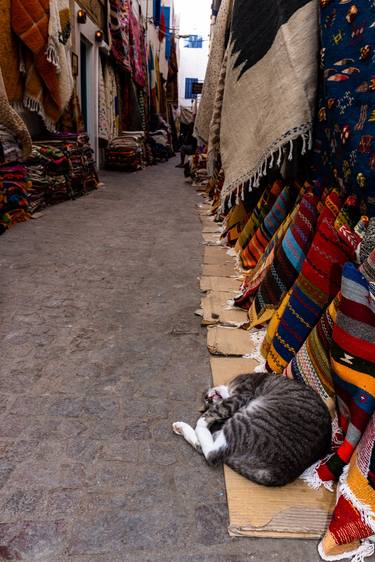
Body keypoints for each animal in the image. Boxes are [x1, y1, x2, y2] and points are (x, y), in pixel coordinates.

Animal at [173, 370, 332, 484]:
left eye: (208, 402)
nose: (209, 399)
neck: (228, 388)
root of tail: (281, 472)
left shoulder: (242, 395)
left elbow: (214, 412)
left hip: (247, 419)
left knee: (211, 452)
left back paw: (189, 426)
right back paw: (181, 427)